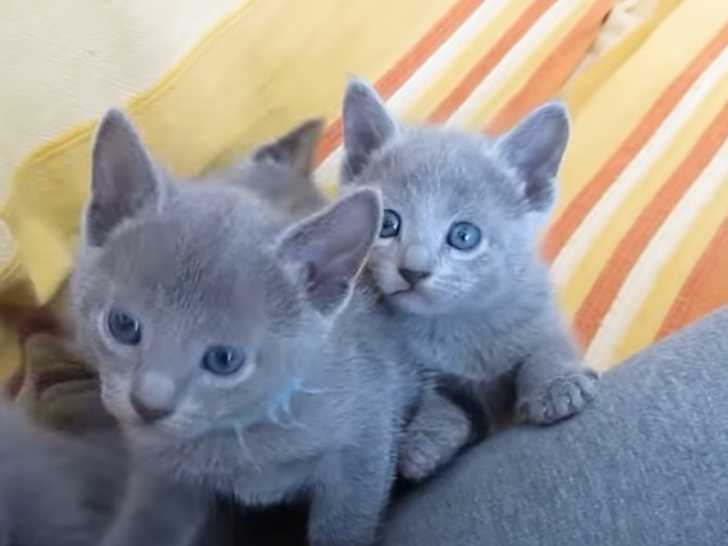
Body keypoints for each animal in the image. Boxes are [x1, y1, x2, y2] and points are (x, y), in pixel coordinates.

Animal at [69, 109, 419, 546]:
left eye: (224, 360)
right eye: (122, 325)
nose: (149, 405)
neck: (237, 438)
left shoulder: (366, 436)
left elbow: (346, 520)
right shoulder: (162, 478)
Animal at [340, 79, 600, 481]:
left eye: (464, 236)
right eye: (388, 224)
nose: (413, 270)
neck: (455, 326)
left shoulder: (540, 314)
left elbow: (546, 349)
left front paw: (558, 386)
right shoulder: (419, 369)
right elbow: (440, 402)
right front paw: (424, 441)